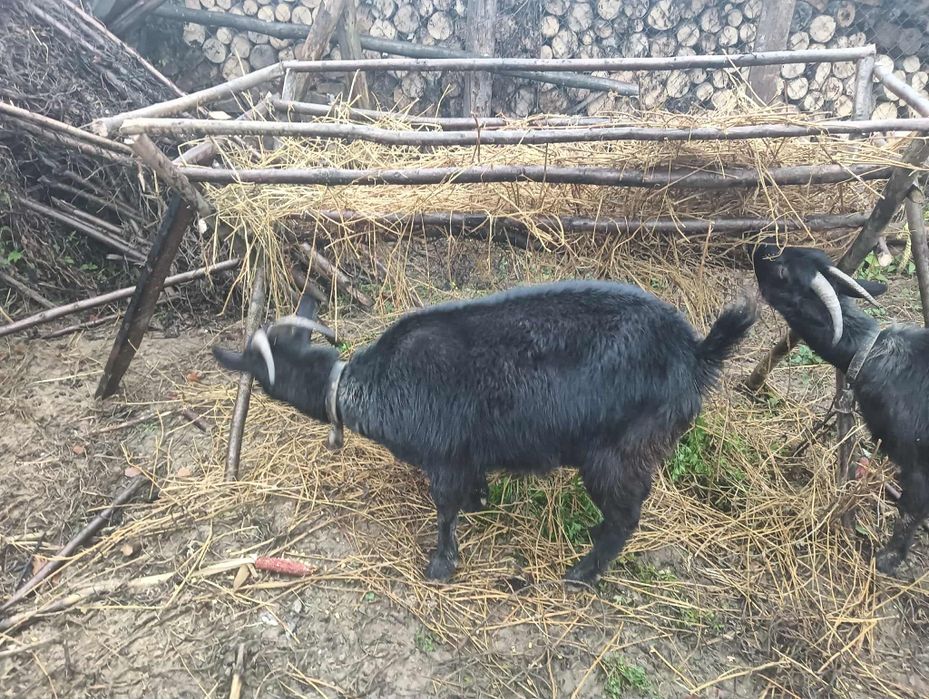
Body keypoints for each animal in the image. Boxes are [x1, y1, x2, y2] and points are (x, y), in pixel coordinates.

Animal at [213, 282, 756, 583]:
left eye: (259, 372)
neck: (361, 384)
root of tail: (696, 353)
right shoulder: (467, 455)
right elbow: (470, 493)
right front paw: (480, 503)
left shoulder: (443, 457)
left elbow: (445, 511)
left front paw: (440, 566)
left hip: (618, 453)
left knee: (626, 517)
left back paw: (581, 574)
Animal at [753, 243, 929, 574]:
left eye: (783, 271)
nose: (758, 247)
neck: (872, 353)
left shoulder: (917, 466)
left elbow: (909, 512)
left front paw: (888, 559)